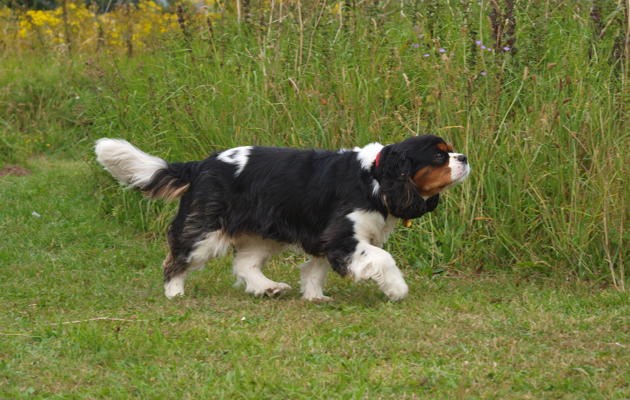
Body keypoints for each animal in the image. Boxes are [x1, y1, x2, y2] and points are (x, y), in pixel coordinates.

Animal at [94, 134, 470, 300]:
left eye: (450, 151)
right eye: (440, 157)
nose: (464, 158)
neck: (375, 178)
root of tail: (201, 165)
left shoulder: (322, 236)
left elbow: (314, 269)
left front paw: (315, 297)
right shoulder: (343, 237)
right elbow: (384, 259)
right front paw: (397, 289)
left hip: (262, 233)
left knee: (244, 264)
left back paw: (269, 287)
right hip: (204, 229)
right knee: (176, 258)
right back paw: (175, 293)